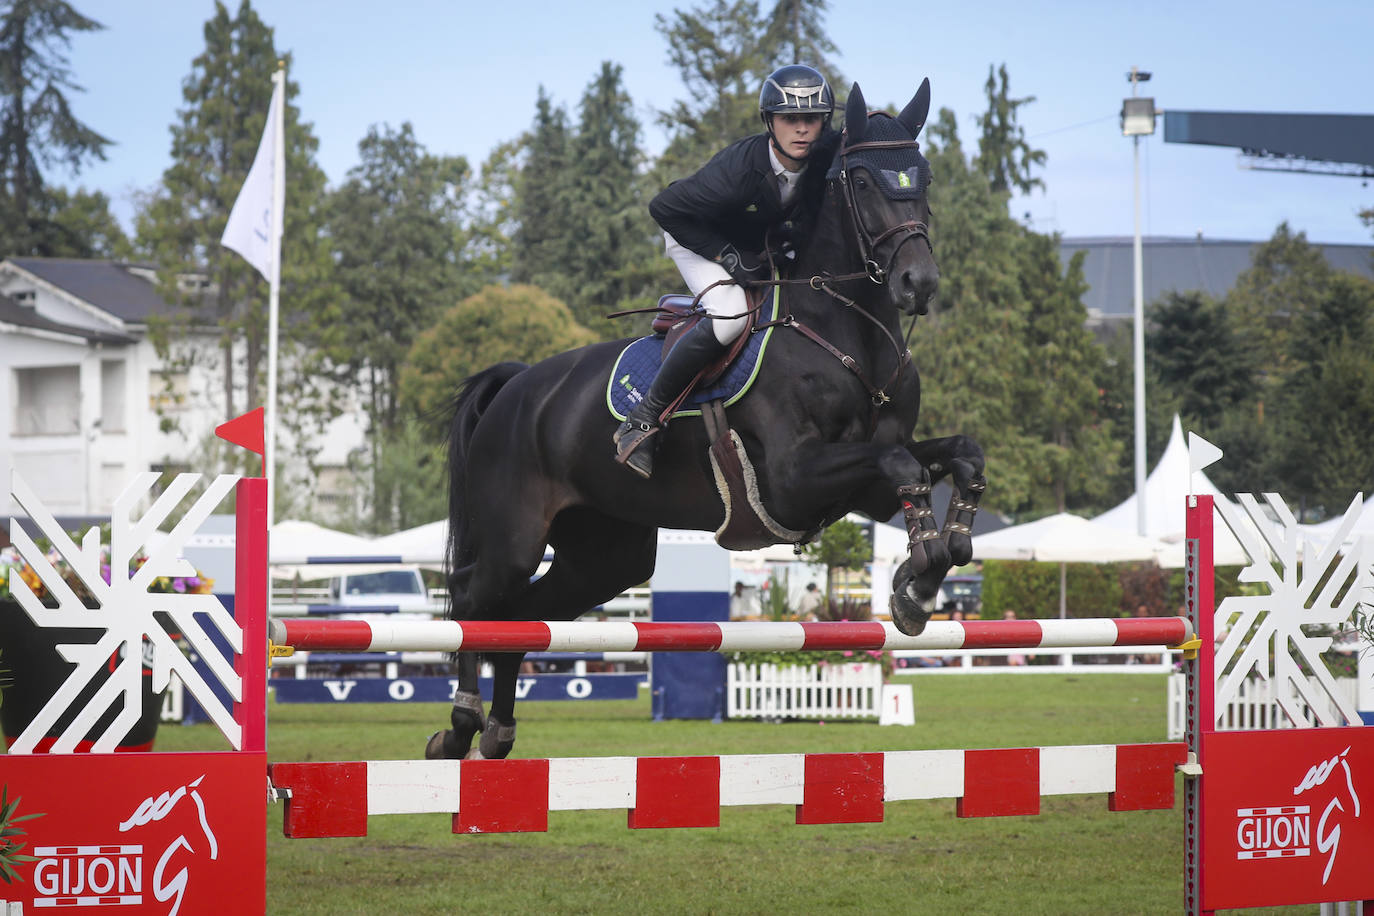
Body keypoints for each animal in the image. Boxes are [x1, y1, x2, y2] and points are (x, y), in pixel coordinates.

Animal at [423, 82, 983, 763]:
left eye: (921, 176)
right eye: (860, 180)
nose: (917, 282)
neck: (846, 333)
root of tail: (517, 386)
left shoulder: (865, 490)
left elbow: (956, 455)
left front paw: (933, 565)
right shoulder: (793, 480)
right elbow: (903, 463)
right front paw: (919, 576)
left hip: (607, 554)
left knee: (525, 614)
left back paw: (499, 731)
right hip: (514, 534)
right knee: (476, 598)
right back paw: (459, 727)